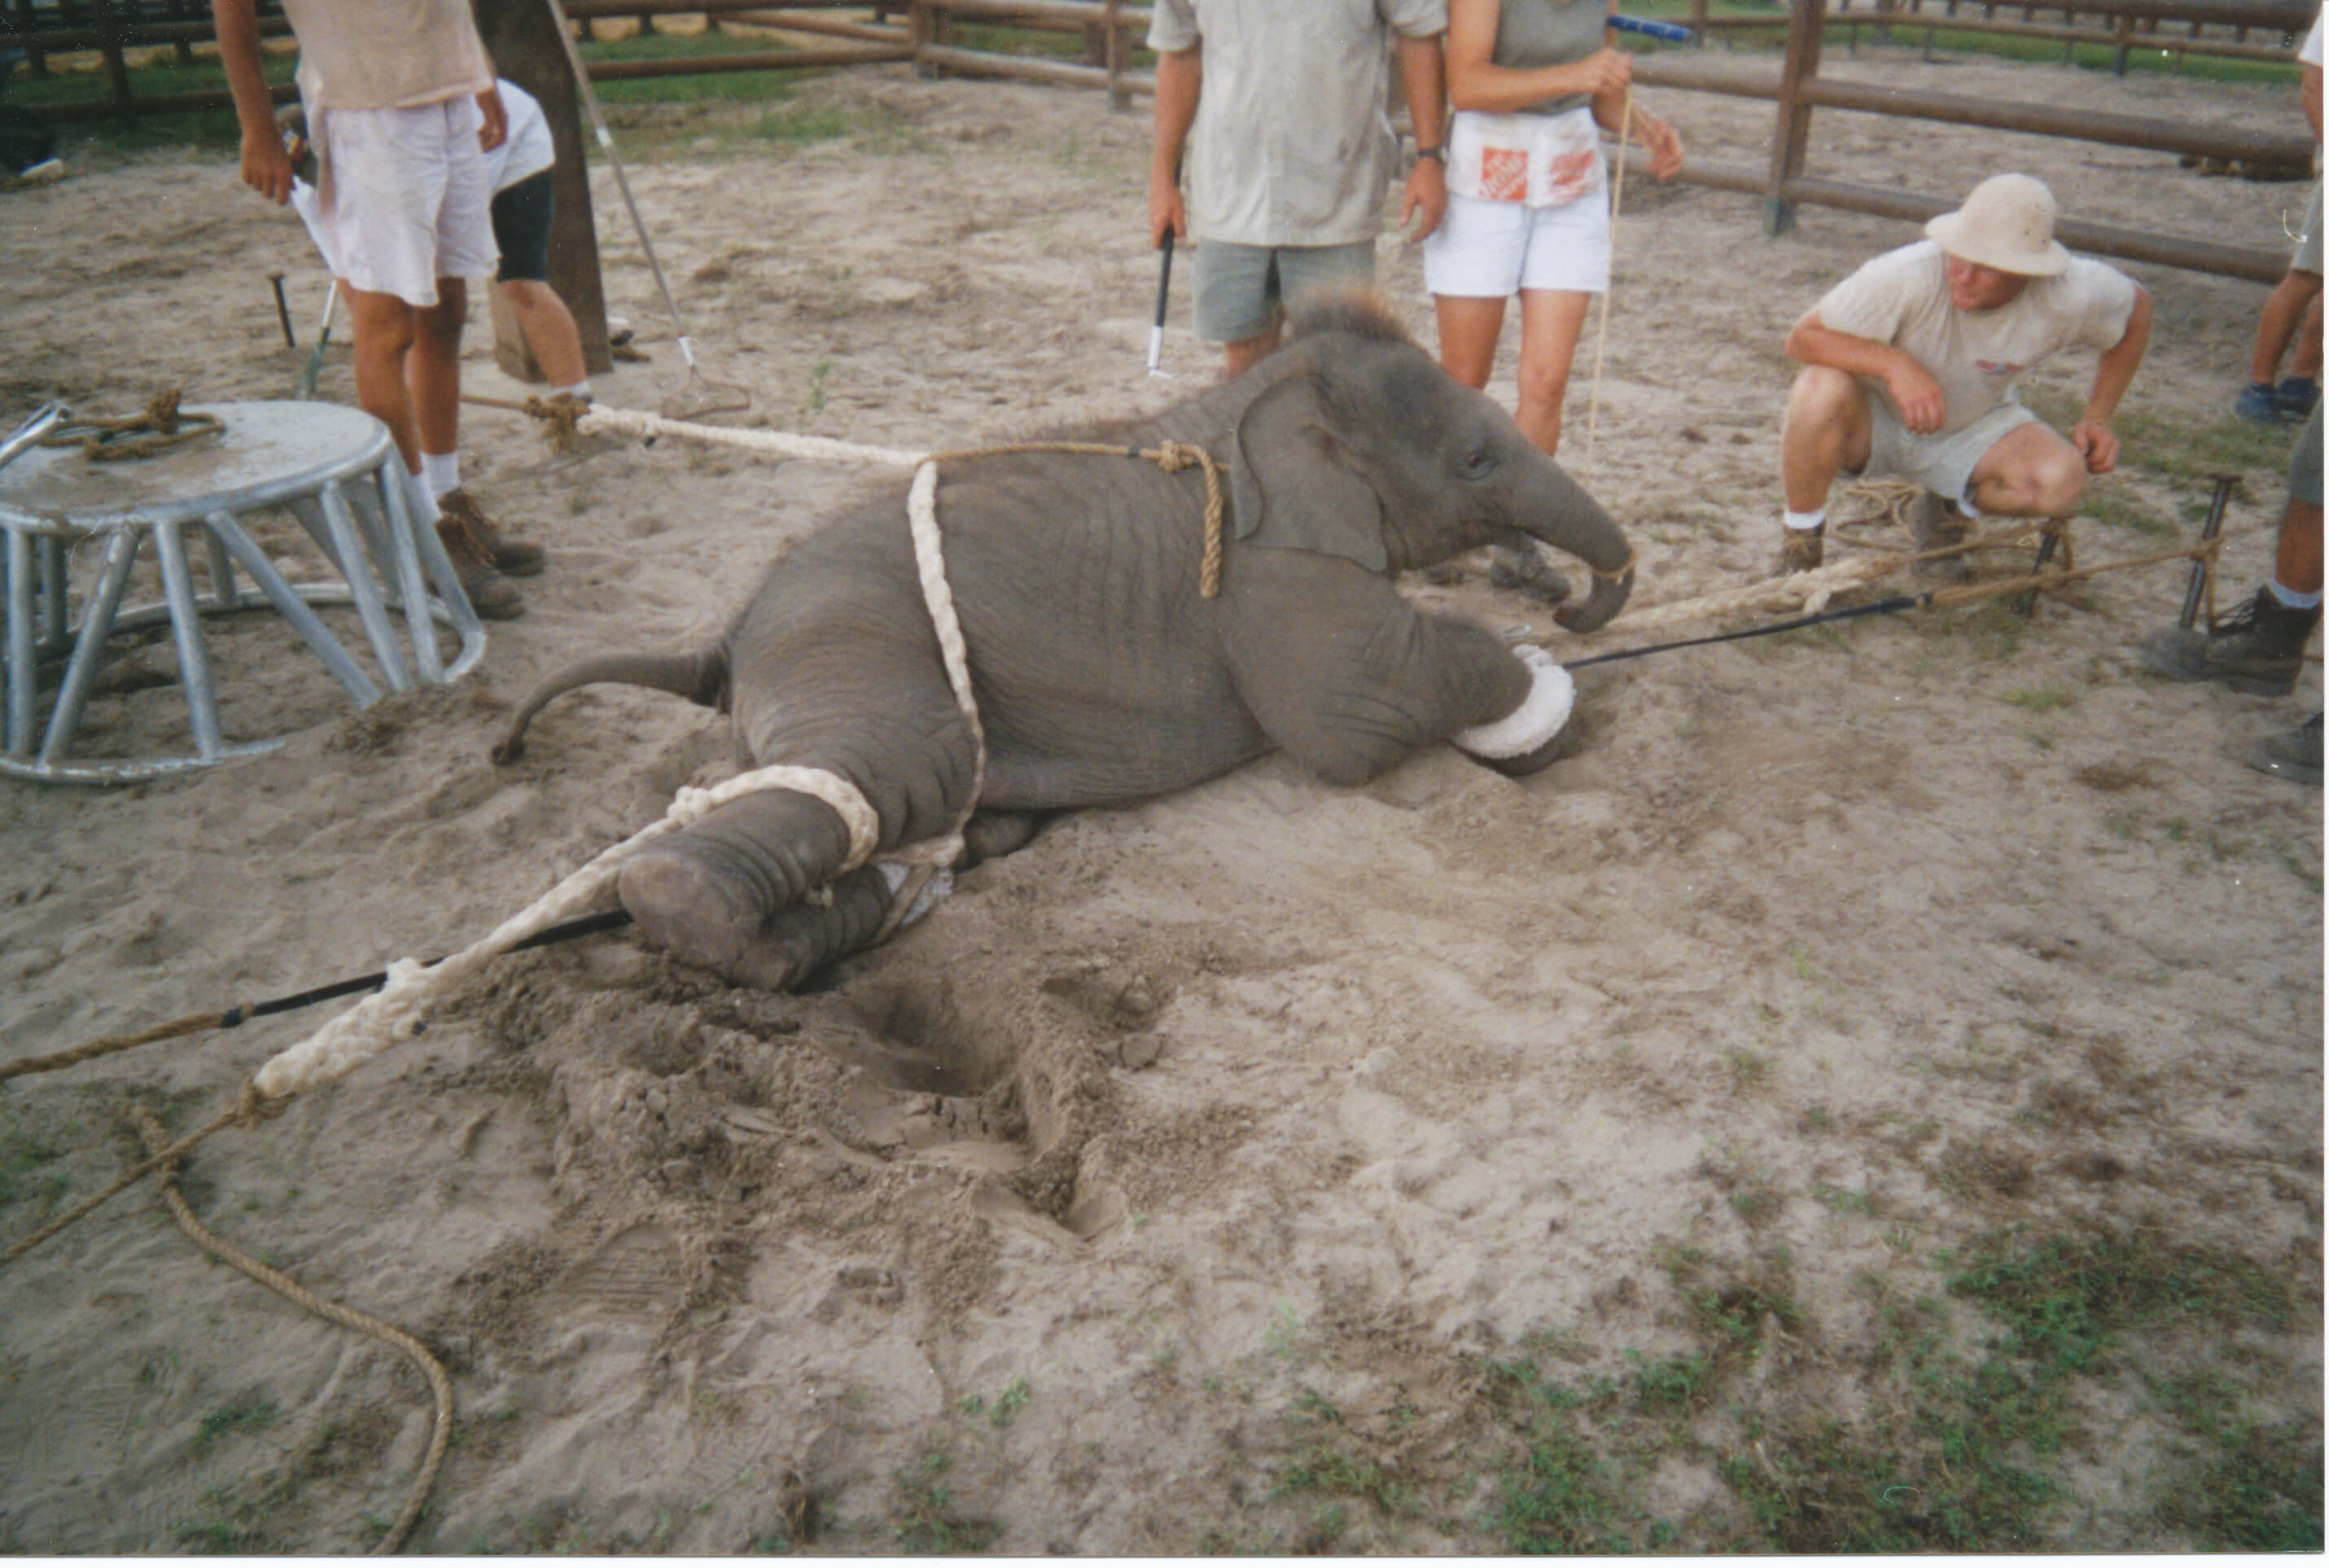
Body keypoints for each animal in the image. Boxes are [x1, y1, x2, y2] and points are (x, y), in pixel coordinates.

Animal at [498, 293, 1630, 992]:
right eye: (1476, 461)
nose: (1572, 604)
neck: (1252, 396)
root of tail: (726, 633)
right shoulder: (1268, 569)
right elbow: (1351, 715)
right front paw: (1542, 706)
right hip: (853, 643)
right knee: (874, 773)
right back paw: (744, 932)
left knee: (932, 832)